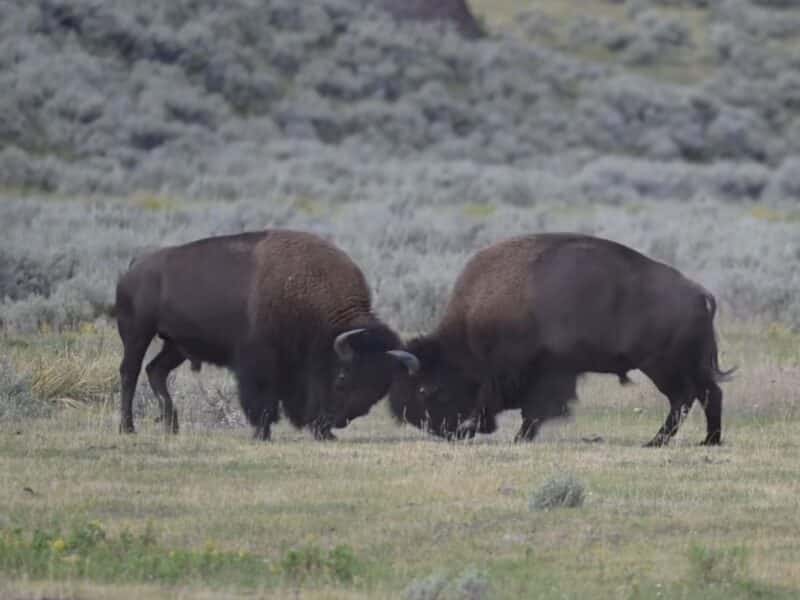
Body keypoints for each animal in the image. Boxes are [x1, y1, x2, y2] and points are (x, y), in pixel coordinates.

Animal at [115, 230, 419, 440]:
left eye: (378, 391)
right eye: (342, 378)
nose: (337, 422)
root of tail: (135, 266)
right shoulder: (258, 363)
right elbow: (262, 400)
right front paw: (262, 433)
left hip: (176, 346)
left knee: (156, 370)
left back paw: (172, 427)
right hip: (137, 334)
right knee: (130, 372)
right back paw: (128, 428)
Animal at [389, 233, 734, 447]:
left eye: (426, 389)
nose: (446, 432)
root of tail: (700, 294)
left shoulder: (541, 373)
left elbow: (534, 410)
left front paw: (520, 437)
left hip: (662, 366)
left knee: (684, 397)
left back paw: (658, 442)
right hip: (685, 365)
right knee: (707, 394)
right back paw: (707, 440)